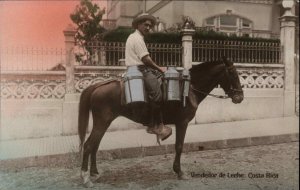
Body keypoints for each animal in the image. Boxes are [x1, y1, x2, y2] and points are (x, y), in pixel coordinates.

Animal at [77, 57, 244, 186]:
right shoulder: (182, 122)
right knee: (88, 145)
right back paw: (85, 178)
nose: (240, 97)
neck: (190, 88)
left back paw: (94, 173)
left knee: (95, 145)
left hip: (103, 123)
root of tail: (97, 86)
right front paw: (179, 171)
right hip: (102, 122)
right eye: (233, 74)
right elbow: (179, 146)